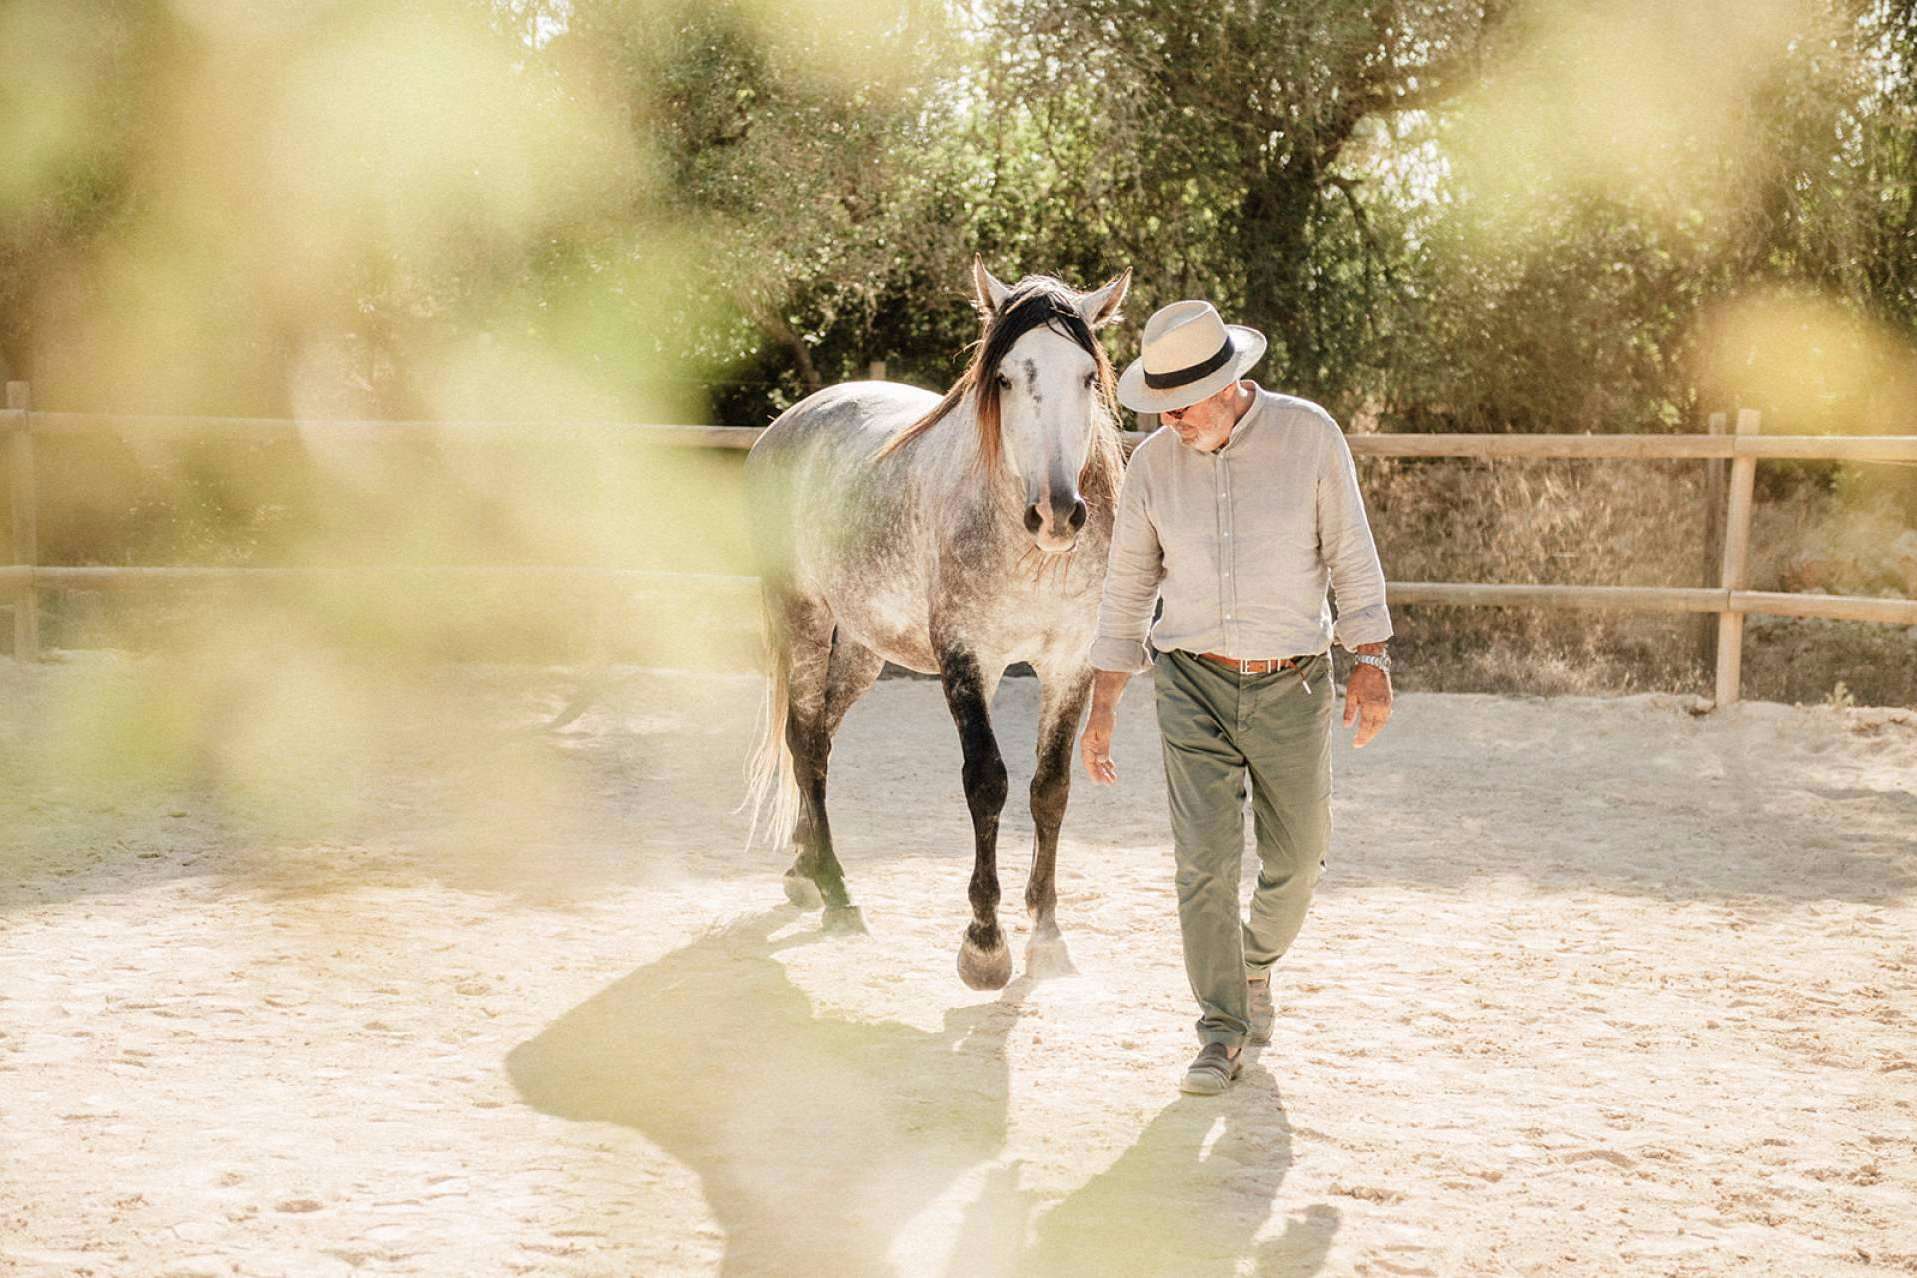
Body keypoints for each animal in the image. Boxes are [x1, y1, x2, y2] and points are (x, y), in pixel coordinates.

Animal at [743, 259, 1131, 989]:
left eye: (1088, 378)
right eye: (1003, 378)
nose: (1057, 513)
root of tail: (791, 421)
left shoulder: (1070, 662)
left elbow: (1050, 789)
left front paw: (1046, 933)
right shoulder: (965, 657)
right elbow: (987, 782)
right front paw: (985, 945)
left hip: (861, 647)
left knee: (822, 736)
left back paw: (805, 867)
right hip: (801, 616)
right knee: (803, 739)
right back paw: (836, 892)